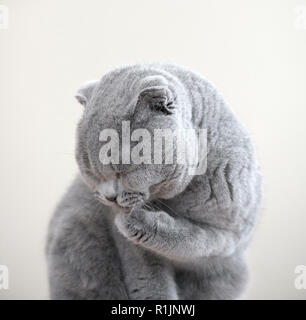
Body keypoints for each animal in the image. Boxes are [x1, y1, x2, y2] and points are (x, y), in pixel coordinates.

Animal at [46, 63, 262, 300]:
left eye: (122, 169)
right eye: (91, 171)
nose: (108, 197)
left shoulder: (234, 232)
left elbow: (201, 240)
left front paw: (136, 221)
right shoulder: (133, 249)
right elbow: (148, 276)